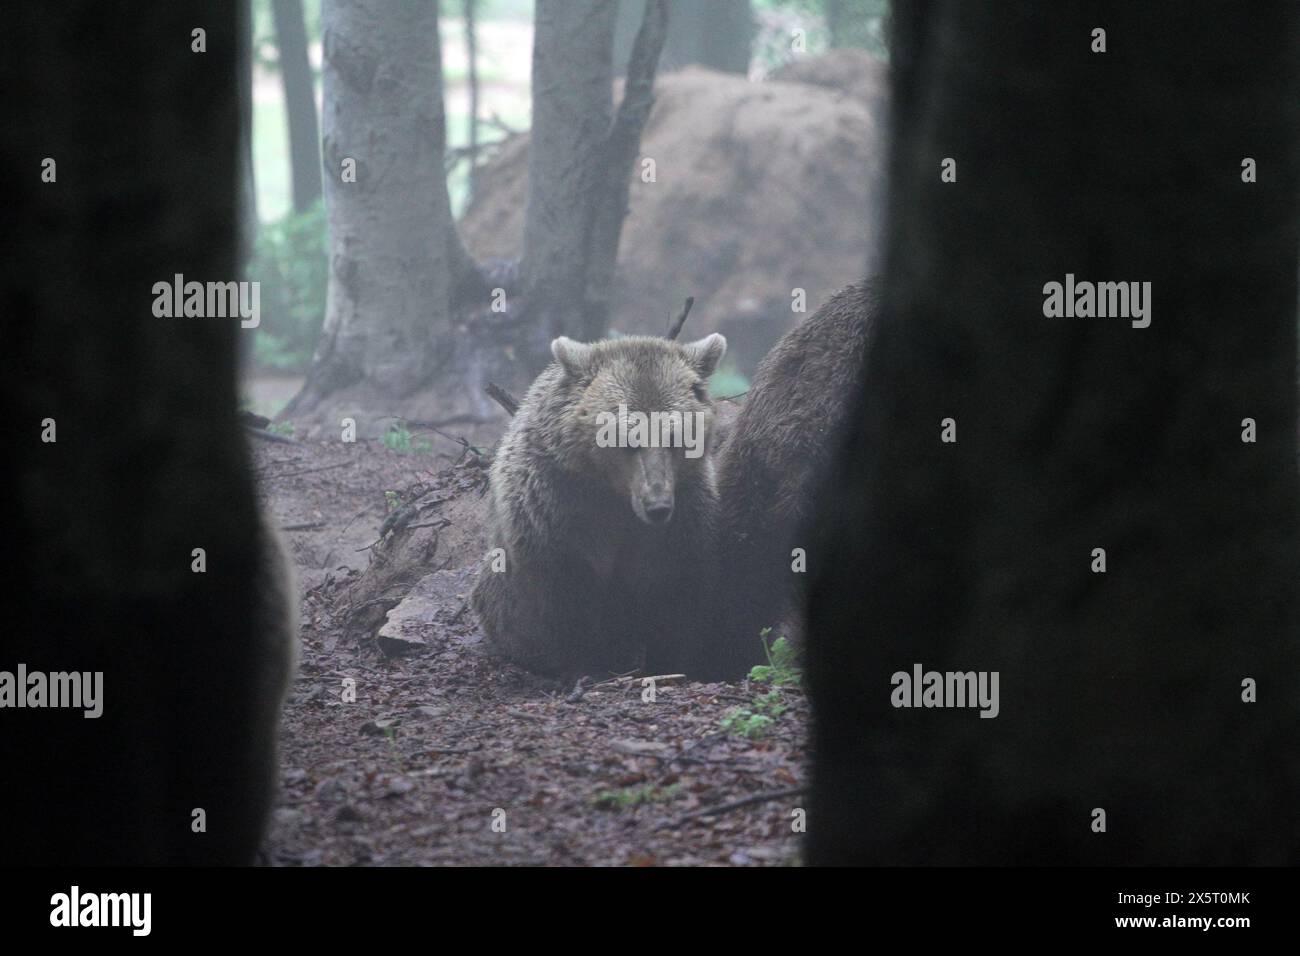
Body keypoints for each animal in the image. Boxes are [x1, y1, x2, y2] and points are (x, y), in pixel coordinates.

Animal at [470, 332, 733, 676]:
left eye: (675, 437)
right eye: (628, 439)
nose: (657, 506)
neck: (614, 495)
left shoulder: (684, 515)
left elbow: (676, 594)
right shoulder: (556, 506)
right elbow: (567, 594)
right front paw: (586, 660)